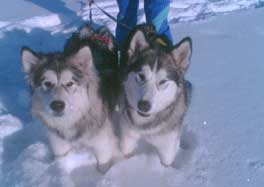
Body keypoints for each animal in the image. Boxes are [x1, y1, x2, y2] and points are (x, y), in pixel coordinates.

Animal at [21, 25, 119, 172]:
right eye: (47, 83)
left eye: (70, 83)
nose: (57, 105)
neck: (73, 120)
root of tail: (89, 33)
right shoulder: (58, 143)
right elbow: (61, 158)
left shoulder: (103, 144)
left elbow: (103, 164)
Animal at [118, 24, 193, 167]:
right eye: (141, 76)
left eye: (163, 81)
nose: (144, 105)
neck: (146, 126)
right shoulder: (128, 136)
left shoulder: (167, 146)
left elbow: (167, 163)